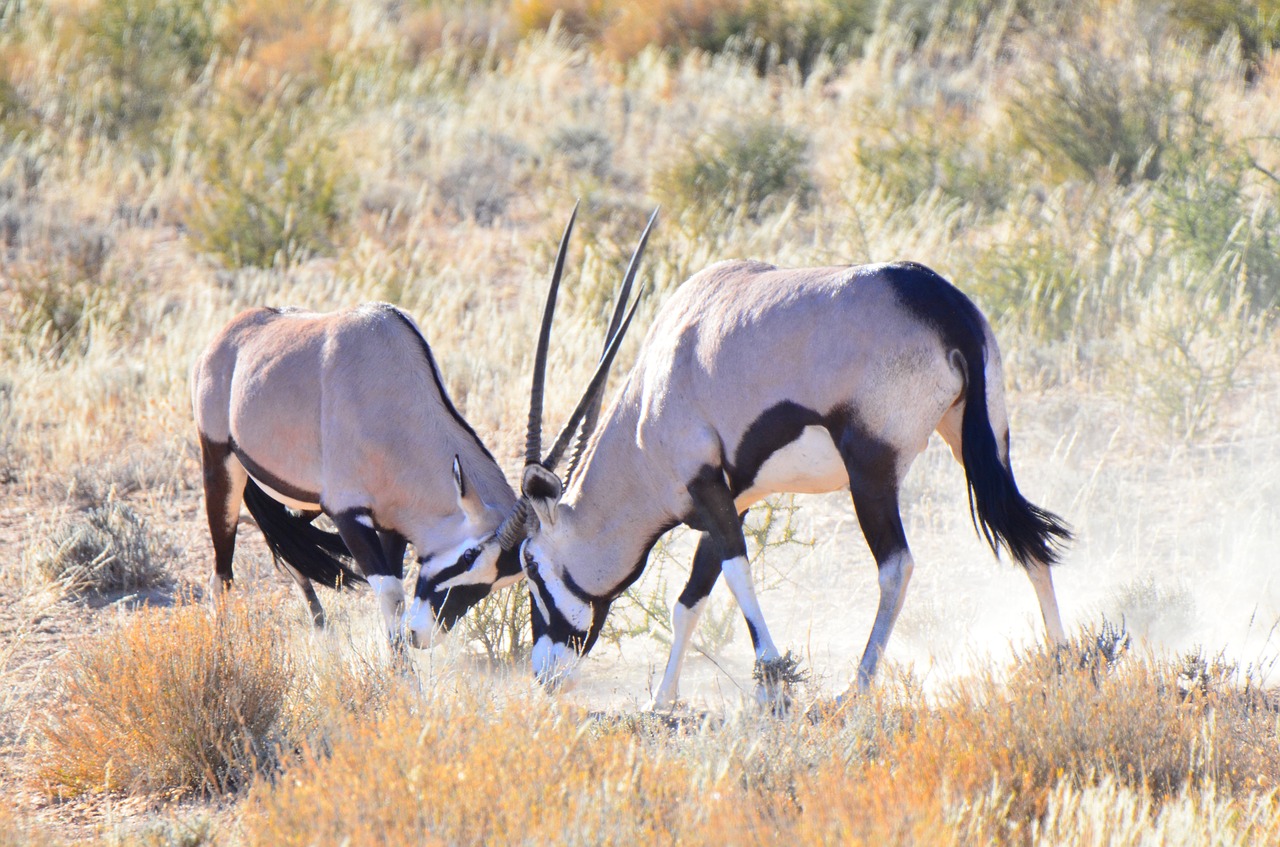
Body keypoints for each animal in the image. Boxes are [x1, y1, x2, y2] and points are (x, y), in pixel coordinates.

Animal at [509, 261, 1070, 711]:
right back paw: (1063, 659)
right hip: (983, 441)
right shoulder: (735, 498)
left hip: (871, 472)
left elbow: (736, 574)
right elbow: (690, 599)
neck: (648, 405)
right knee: (1028, 540)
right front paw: (660, 700)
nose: (544, 674)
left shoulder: (708, 488)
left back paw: (856, 688)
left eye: (530, 565)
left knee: (896, 566)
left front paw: (772, 684)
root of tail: (941, 303)